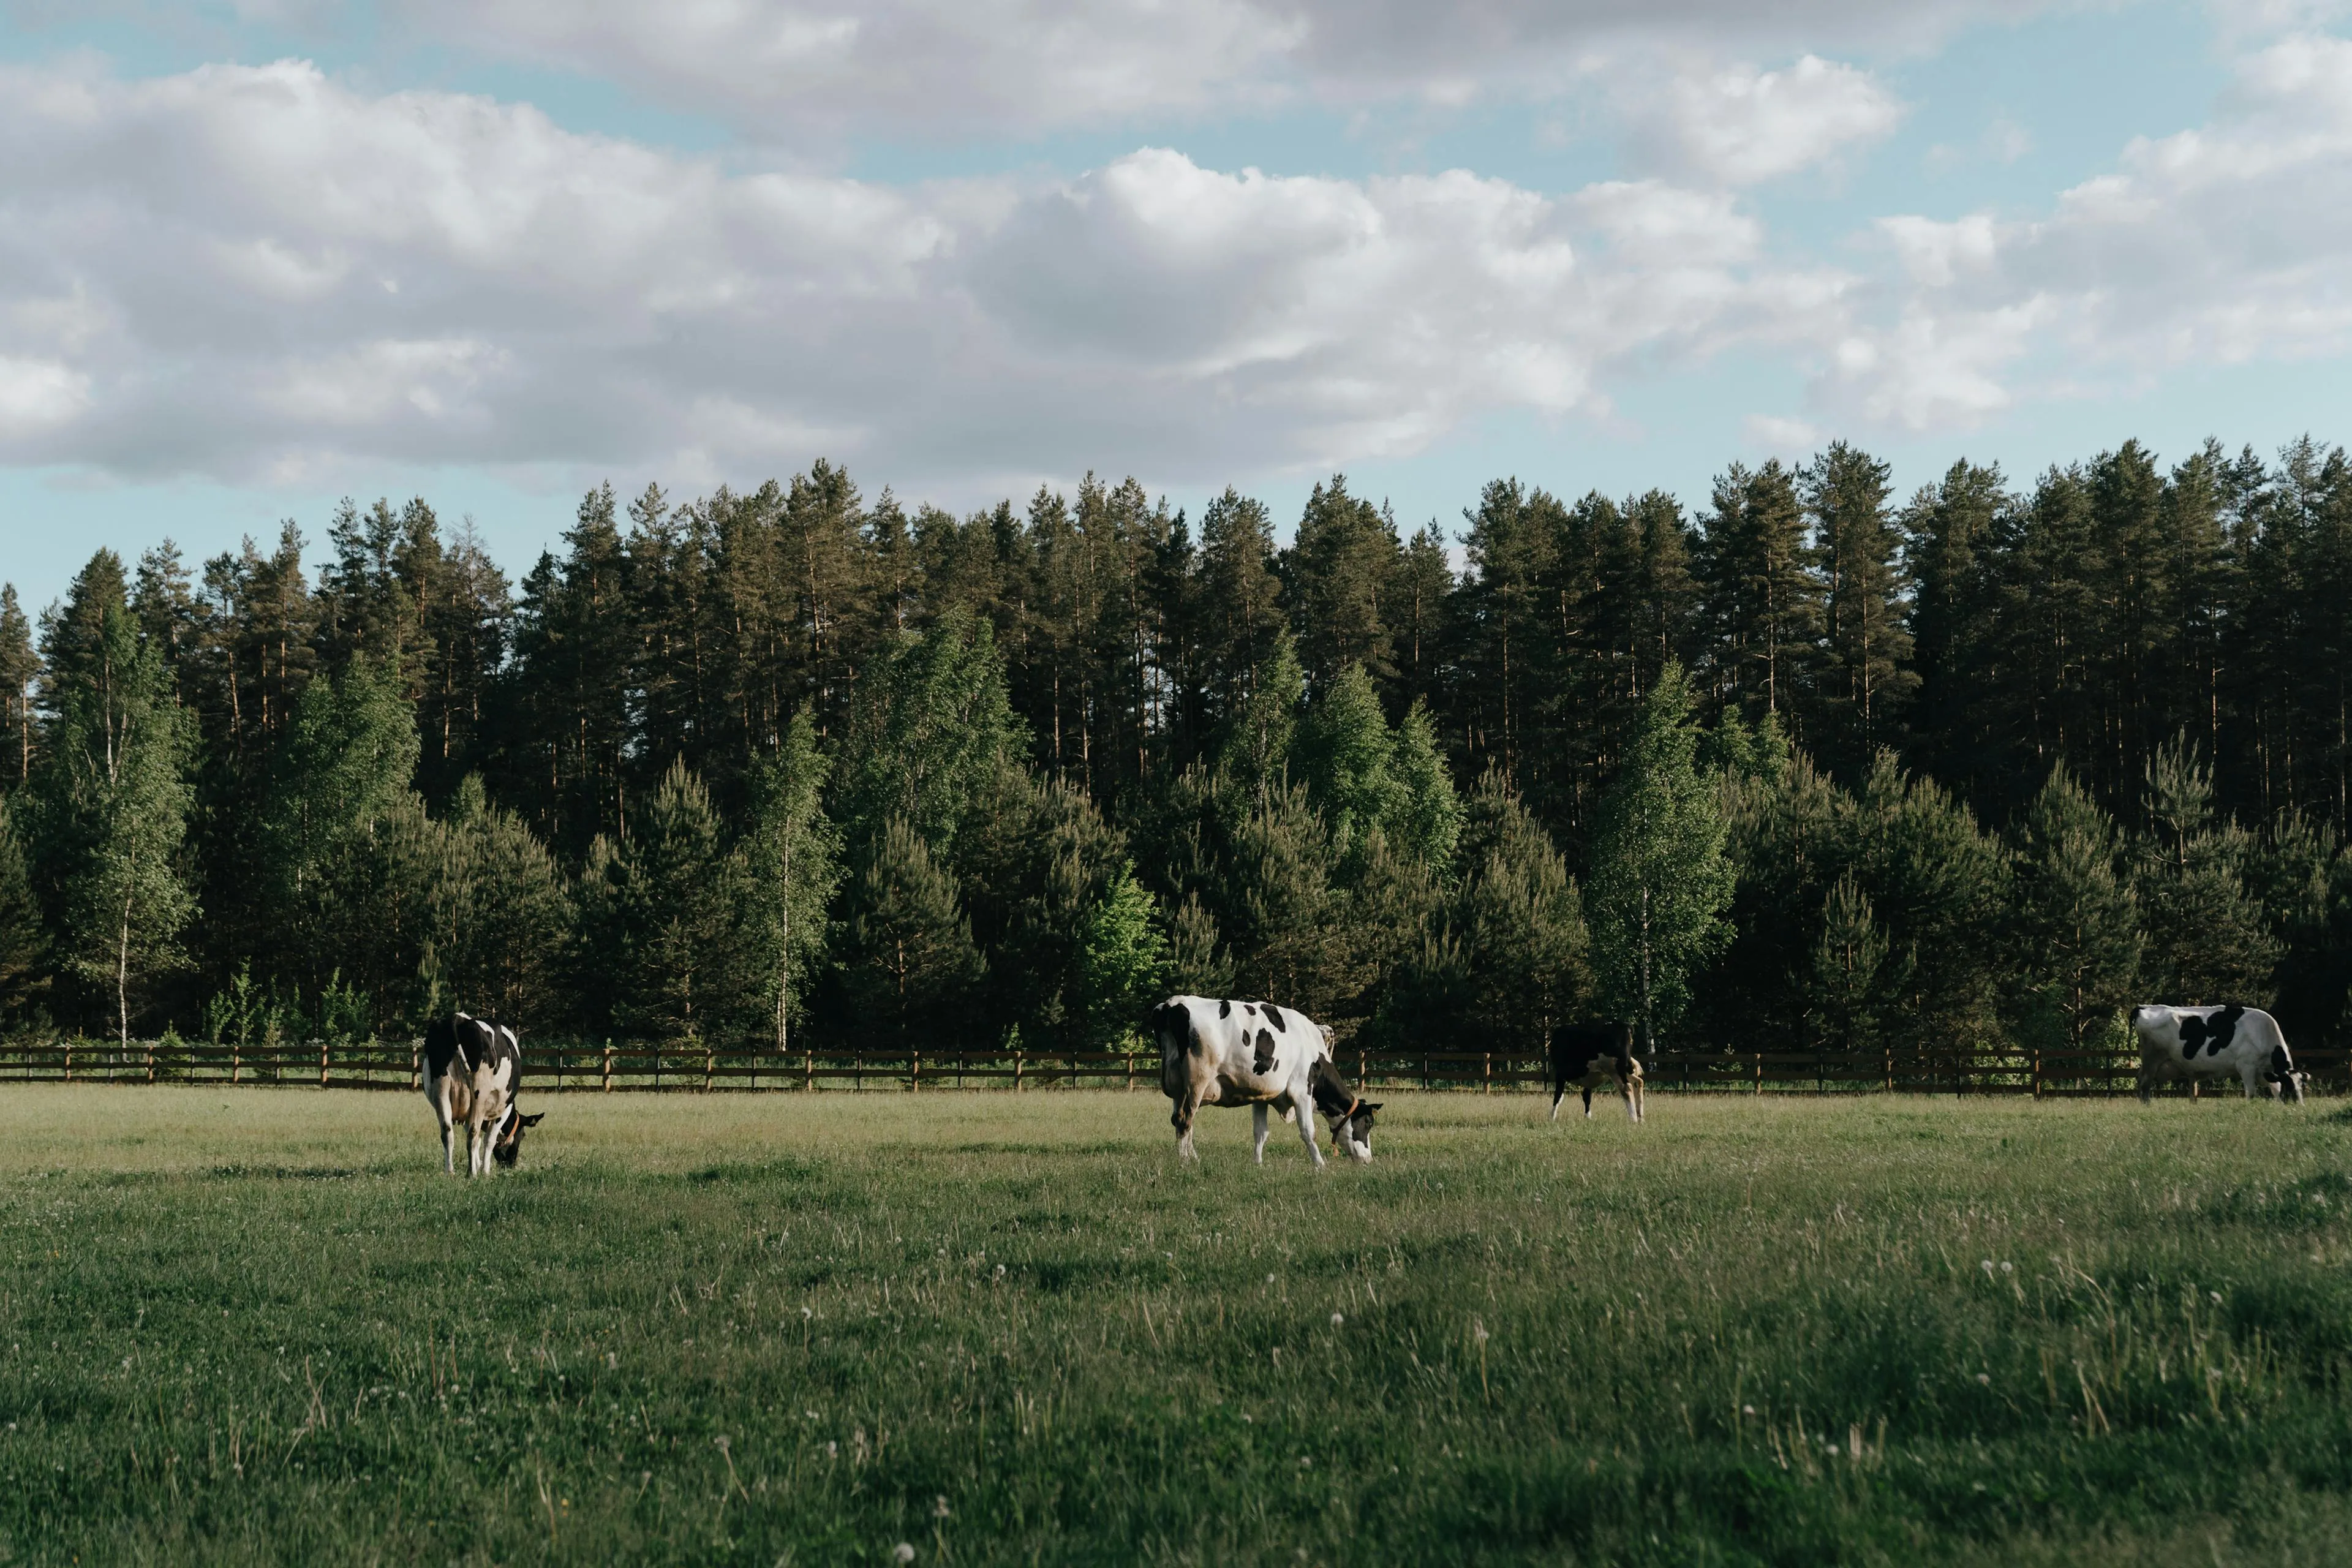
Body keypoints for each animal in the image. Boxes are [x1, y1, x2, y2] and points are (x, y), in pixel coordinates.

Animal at [422, 1012, 544, 1175]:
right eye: (523, 1135)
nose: (511, 1164)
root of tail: (458, 1018)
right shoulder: (503, 1110)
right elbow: (489, 1140)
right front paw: (485, 1171)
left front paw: (478, 1163)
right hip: (479, 1095)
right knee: (473, 1134)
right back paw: (472, 1174)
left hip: (441, 1092)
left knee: (447, 1132)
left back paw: (450, 1172)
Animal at [1153, 995, 1365, 1165]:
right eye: (1367, 1124)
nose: (1368, 1159)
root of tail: (1173, 1004)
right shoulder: (1301, 1090)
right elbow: (1308, 1131)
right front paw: (1320, 1165)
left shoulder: (1261, 1095)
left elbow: (1261, 1132)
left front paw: (1258, 1163)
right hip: (1197, 1081)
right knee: (1185, 1120)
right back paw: (1185, 1161)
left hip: (1178, 1088)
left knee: (1181, 1120)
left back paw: (1194, 1158)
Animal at [1549, 1021, 1648, 1123]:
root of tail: (1625, 1026)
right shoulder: (1589, 1077)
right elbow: (1587, 1097)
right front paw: (1588, 1118)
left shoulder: (1560, 1073)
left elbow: (1558, 1096)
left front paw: (1552, 1118)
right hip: (1625, 1069)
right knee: (1638, 1082)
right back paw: (1641, 1119)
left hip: (1615, 1070)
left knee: (1627, 1088)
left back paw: (1633, 1119)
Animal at [2131, 1003, 2305, 1104]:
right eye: (2290, 1087)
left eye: (2301, 1087)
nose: (2300, 1106)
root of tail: (2144, 1007)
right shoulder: (2246, 1066)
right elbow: (2251, 1093)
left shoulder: (2267, 1073)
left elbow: (2276, 1091)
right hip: (2152, 1059)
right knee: (2144, 1085)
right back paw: (2147, 1106)